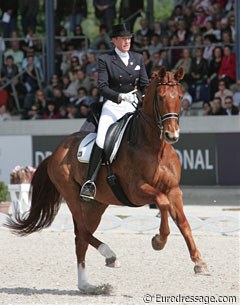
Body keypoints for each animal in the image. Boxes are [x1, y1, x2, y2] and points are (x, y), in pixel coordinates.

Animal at [6, 66, 207, 292]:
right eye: (161, 97)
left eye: (180, 96)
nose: (172, 135)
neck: (155, 148)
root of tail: (56, 152)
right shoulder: (136, 190)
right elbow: (162, 203)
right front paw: (158, 241)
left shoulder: (173, 190)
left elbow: (183, 223)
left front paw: (199, 262)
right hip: (73, 196)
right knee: (83, 231)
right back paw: (109, 256)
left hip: (96, 205)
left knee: (81, 238)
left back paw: (87, 285)